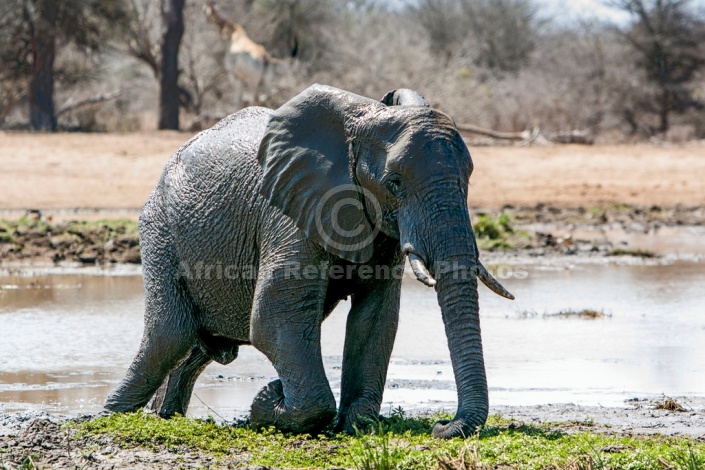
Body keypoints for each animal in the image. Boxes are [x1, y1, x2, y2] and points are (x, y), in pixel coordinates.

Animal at [104, 85, 512, 440]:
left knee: (198, 348)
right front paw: (269, 399)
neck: (360, 123)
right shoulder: (289, 215)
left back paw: (163, 416)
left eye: (468, 179)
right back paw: (109, 417)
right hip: (159, 229)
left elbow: (375, 318)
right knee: (168, 335)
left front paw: (355, 424)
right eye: (394, 183)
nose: (442, 425)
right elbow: (274, 318)